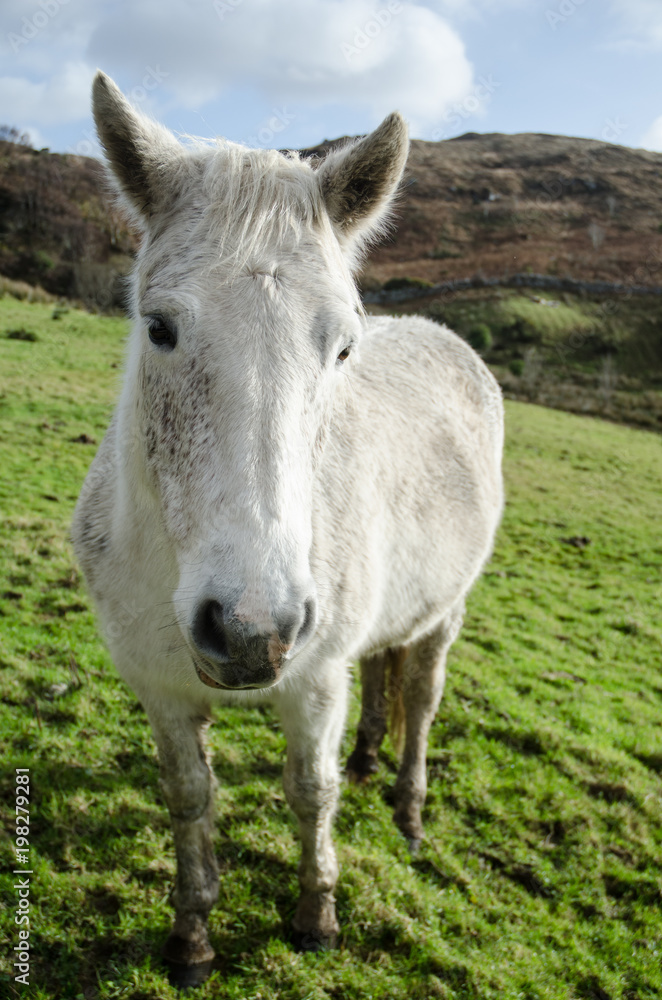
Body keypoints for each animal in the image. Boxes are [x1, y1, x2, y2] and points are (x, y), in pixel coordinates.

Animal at [72, 74, 506, 988]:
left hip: (445, 612)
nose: (250, 630)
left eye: (342, 347)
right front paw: (192, 938)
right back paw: (371, 757)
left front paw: (317, 916)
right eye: (159, 326)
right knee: (384, 669)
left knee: (421, 695)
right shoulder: (159, 688)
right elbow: (188, 797)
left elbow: (311, 791)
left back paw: (408, 809)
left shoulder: (313, 683)